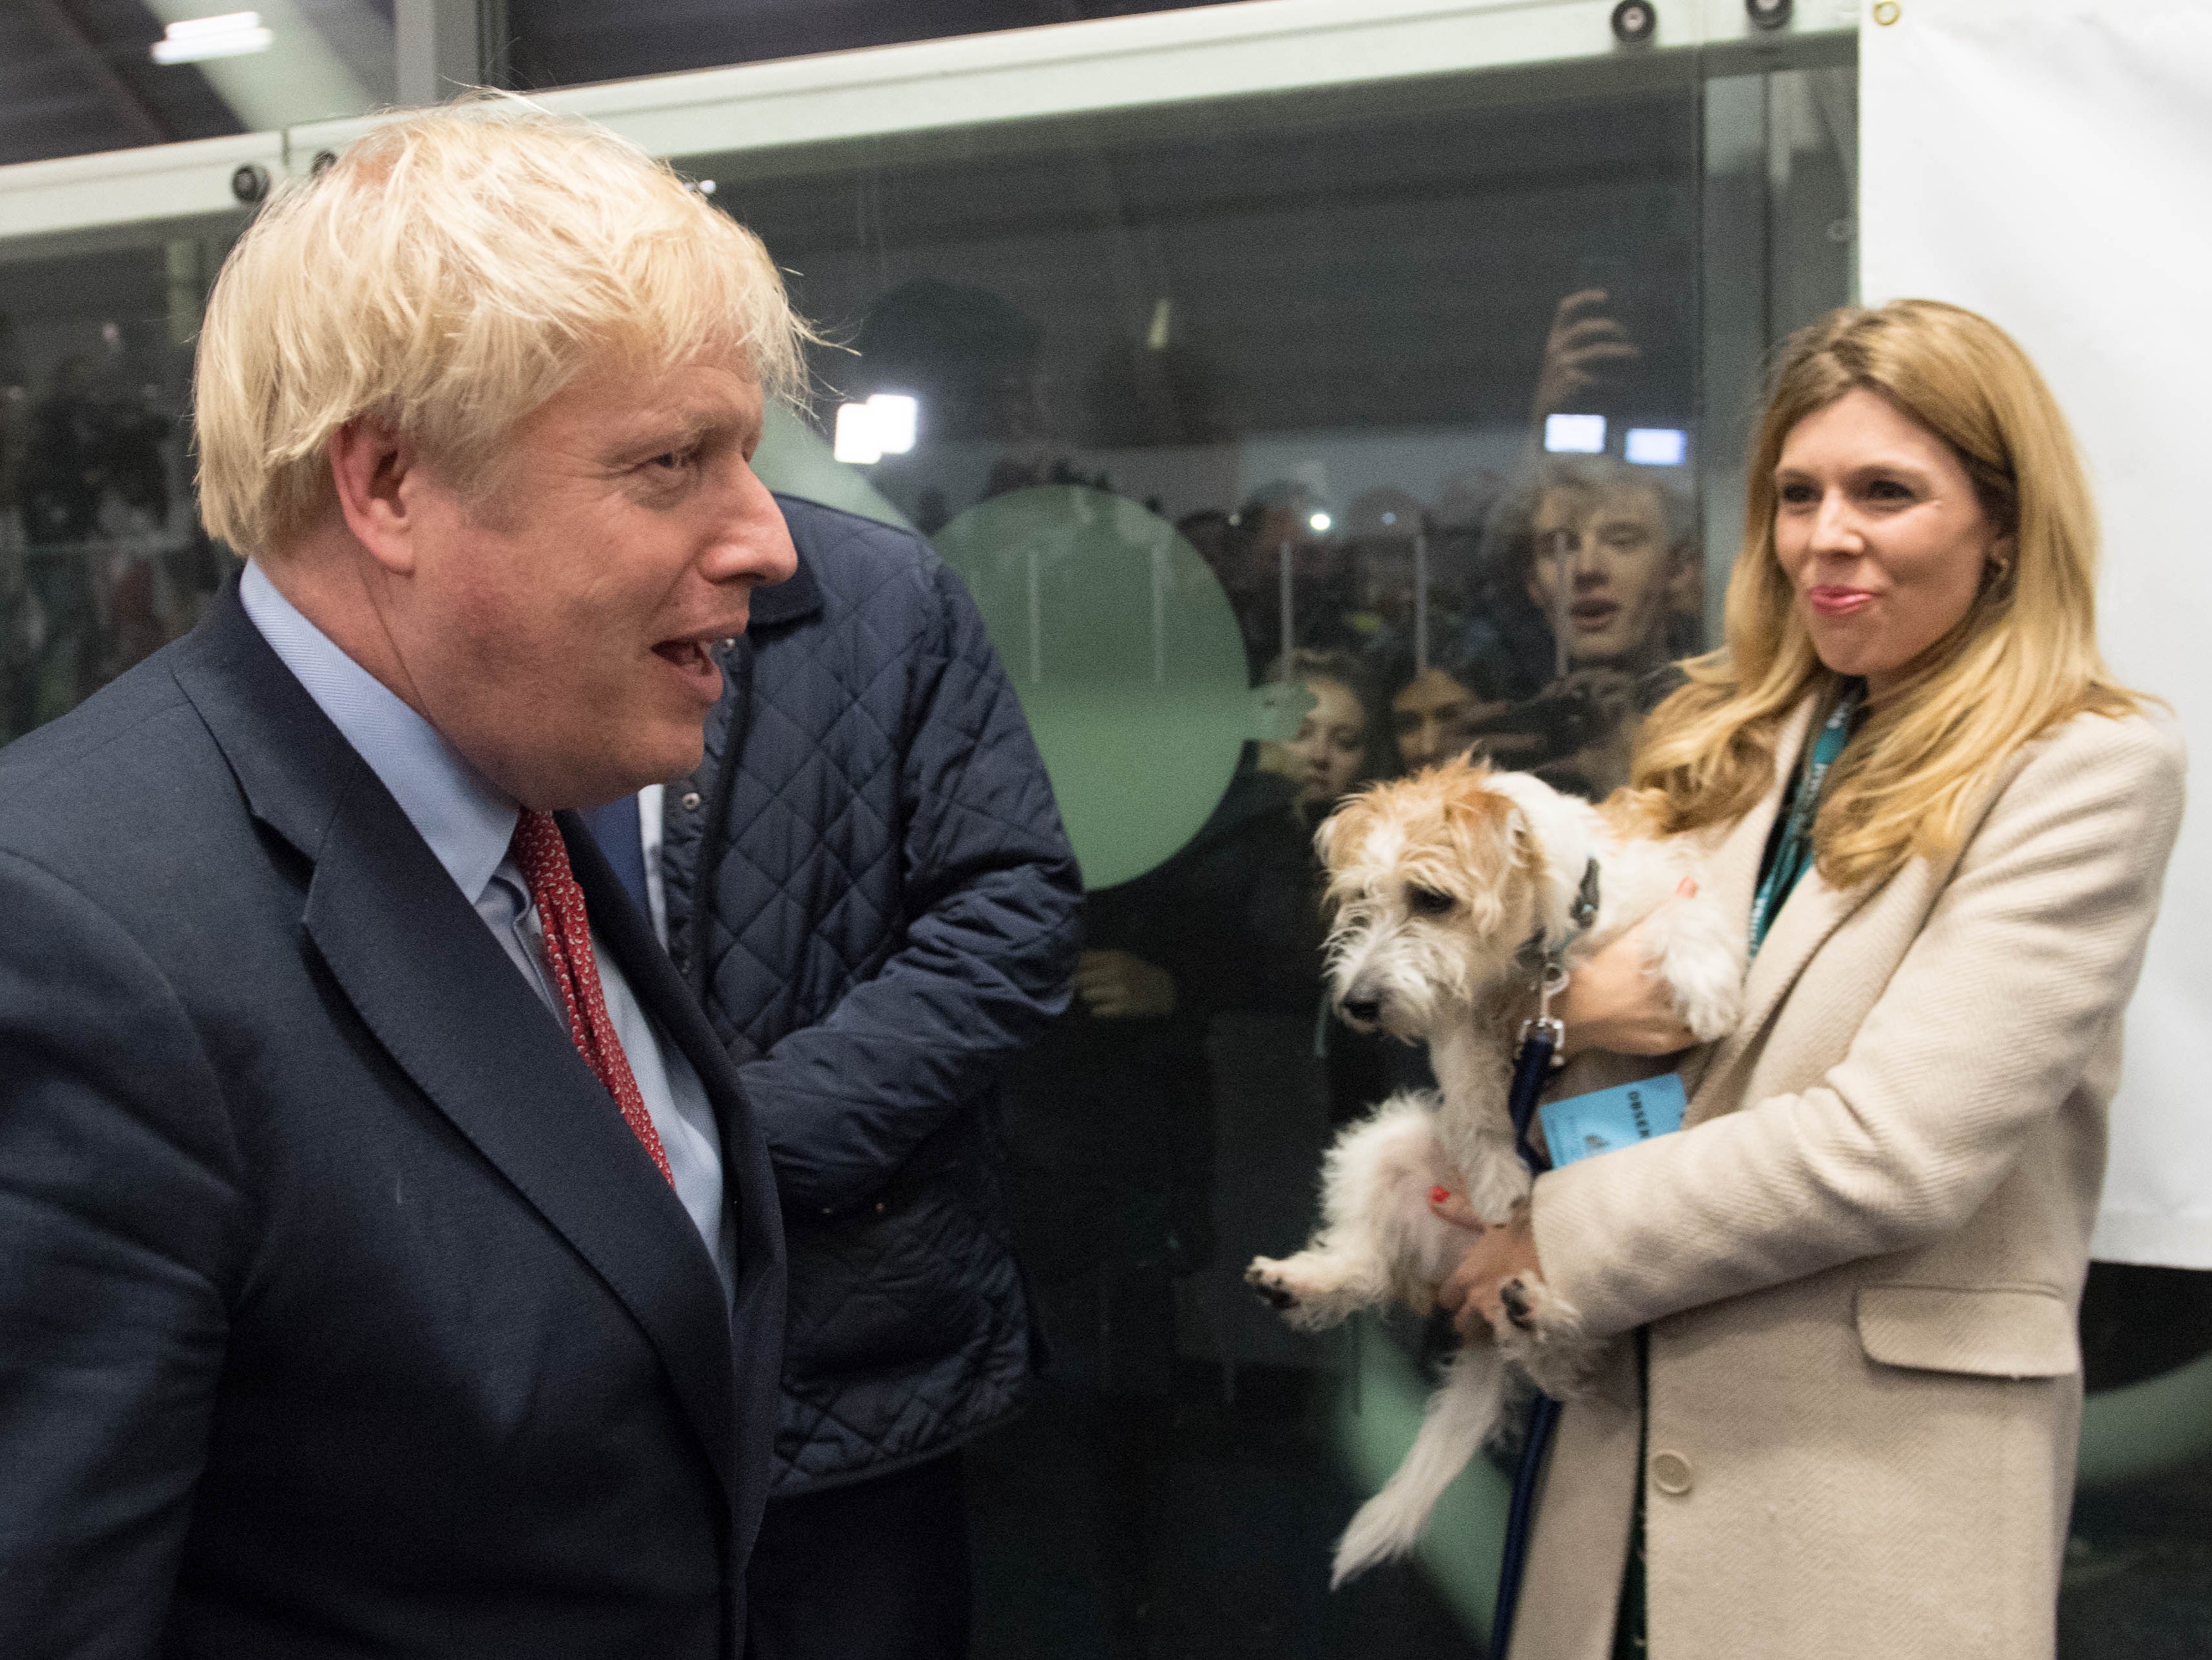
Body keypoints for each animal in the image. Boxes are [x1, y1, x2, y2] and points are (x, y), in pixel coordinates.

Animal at [1247, 752, 1742, 1585]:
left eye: (1430, 898)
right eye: (1360, 901)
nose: (1356, 1005)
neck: (1542, 952)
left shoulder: (1664, 889)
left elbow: (1689, 913)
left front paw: (1704, 983)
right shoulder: (1459, 1021)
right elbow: (1477, 1100)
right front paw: (1499, 1181)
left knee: (1569, 1368)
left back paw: (1535, 1311)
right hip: (1385, 1144)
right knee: (1371, 1267)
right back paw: (1306, 1280)